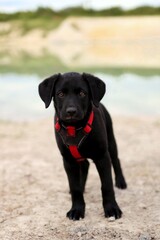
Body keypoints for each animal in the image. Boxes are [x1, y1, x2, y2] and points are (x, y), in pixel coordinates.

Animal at [38, 71, 126, 221]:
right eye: (60, 94)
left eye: (82, 93)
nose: (71, 111)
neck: (75, 129)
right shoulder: (68, 160)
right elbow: (75, 188)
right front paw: (77, 209)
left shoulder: (102, 157)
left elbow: (106, 185)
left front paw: (112, 208)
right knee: (85, 165)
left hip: (111, 141)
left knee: (116, 160)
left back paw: (121, 182)